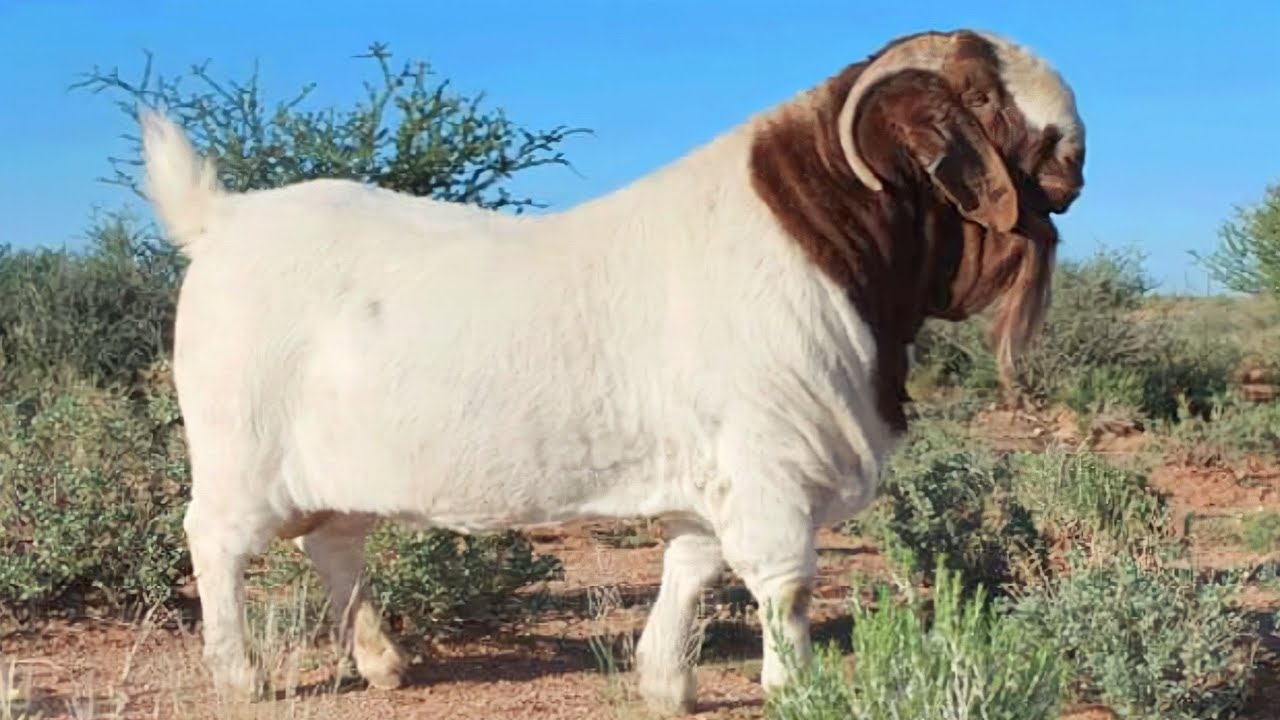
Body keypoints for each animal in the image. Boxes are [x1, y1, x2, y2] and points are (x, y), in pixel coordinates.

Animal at [139, 28, 1085, 714]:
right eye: (983, 98)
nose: (1074, 160)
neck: (821, 229)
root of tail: (221, 220)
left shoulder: (715, 474)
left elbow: (691, 564)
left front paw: (666, 683)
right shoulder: (772, 465)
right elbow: (784, 585)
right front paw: (797, 691)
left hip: (338, 469)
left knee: (334, 544)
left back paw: (383, 662)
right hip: (236, 451)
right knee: (215, 540)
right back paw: (242, 677)